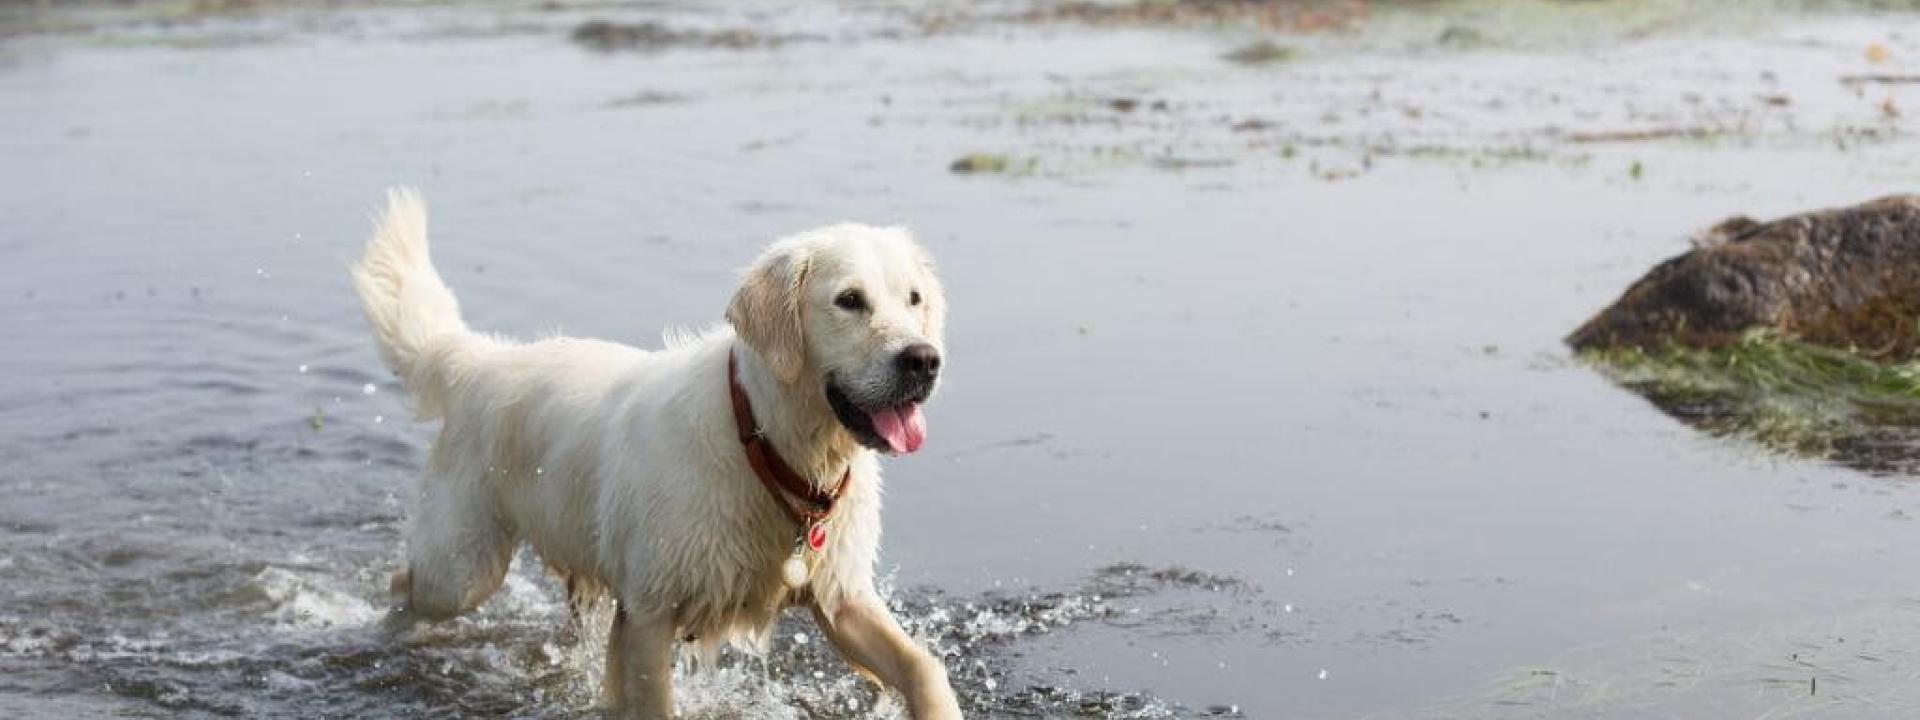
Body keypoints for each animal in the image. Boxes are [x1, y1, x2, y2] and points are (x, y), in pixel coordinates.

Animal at [351, 189, 960, 718]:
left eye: (914, 299)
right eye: (849, 301)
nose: (924, 359)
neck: (767, 444)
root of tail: (477, 360)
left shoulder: (841, 597)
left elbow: (923, 667)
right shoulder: (650, 611)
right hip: (463, 567)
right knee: (404, 583)